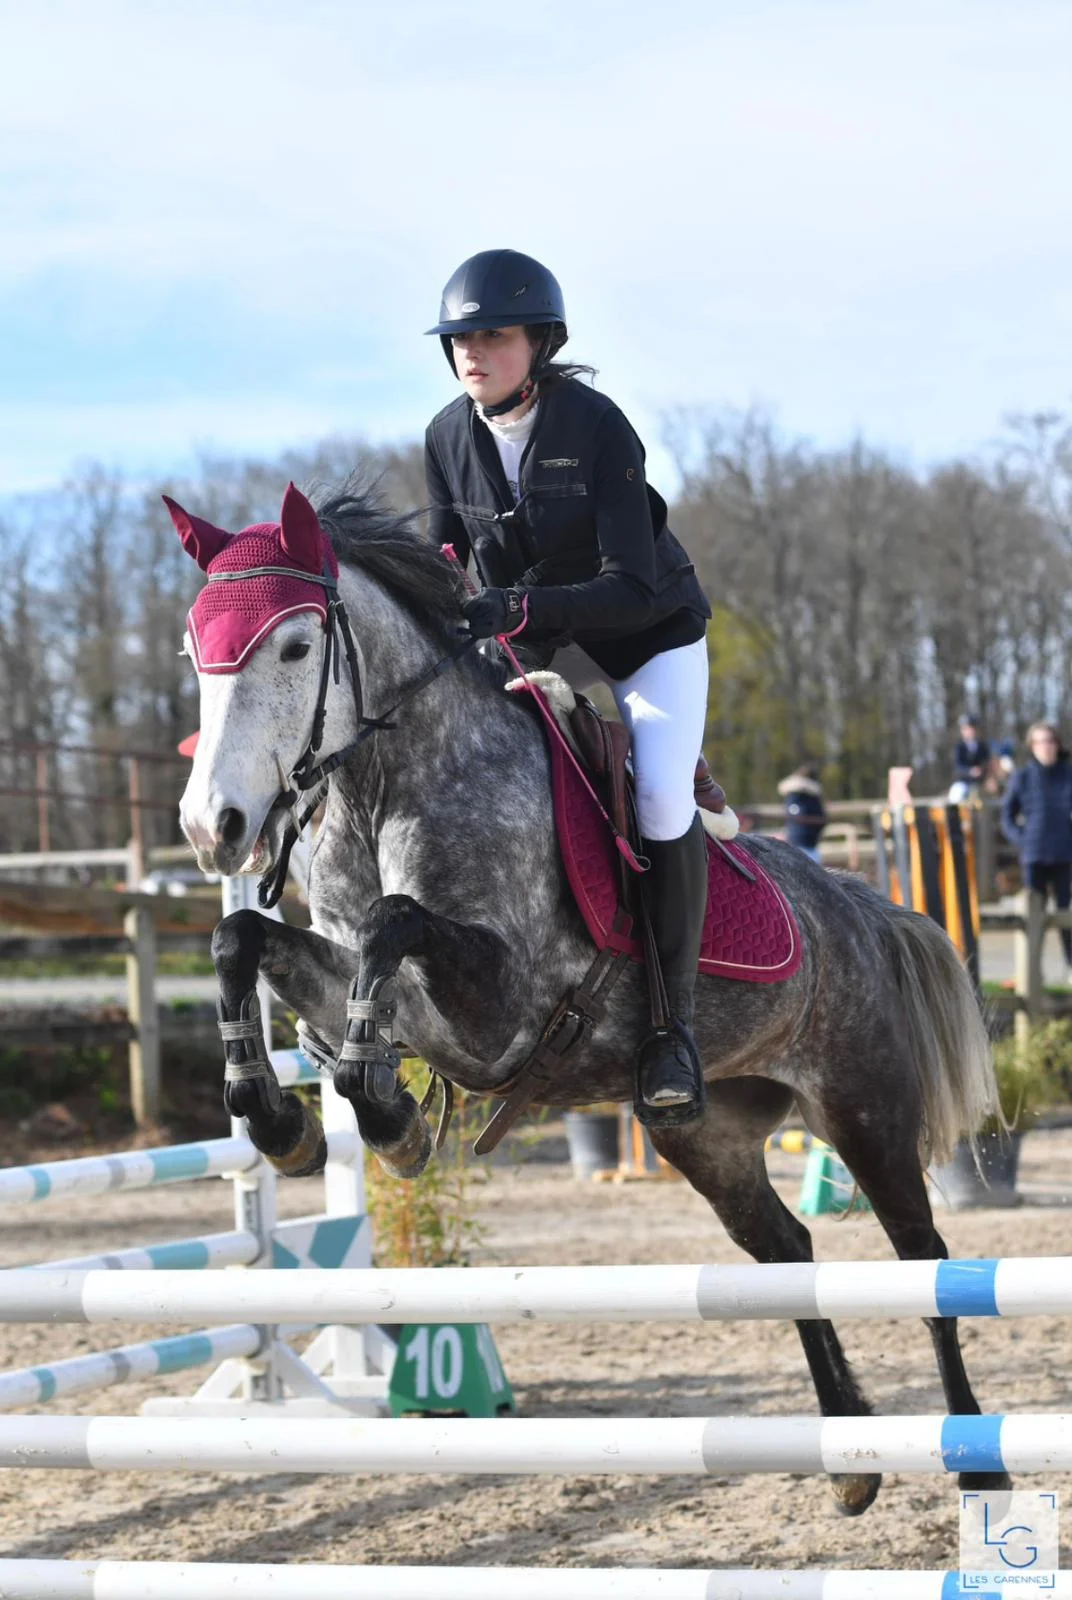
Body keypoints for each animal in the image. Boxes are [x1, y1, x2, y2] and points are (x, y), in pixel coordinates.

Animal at [176, 473, 1011, 1510]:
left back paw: (974, 1460)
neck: (383, 789)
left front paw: (382, 1114)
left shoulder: (499, 1010)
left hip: (867, 1113)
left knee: (922, 1262)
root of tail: (860, 906)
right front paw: (283, 1114)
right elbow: (243, 938)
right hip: (706, 1133)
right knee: (787, 1253)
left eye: (294, 647)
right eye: (195, 652)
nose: (211, 827)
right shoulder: (379, 993)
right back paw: (848, 1456)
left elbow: (391, 925)